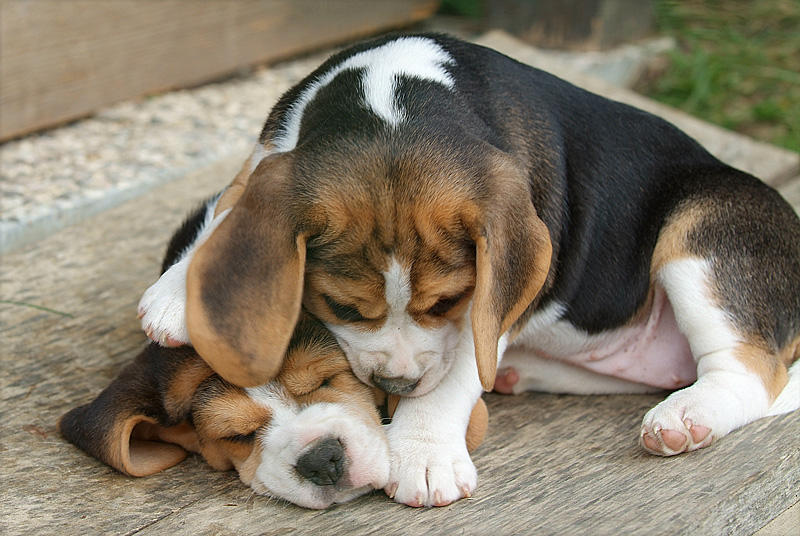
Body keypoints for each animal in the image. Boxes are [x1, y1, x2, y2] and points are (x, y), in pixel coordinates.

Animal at [136, 33, 800, 506]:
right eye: (343, 309)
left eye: (446, 303)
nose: (398, 385)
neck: (396, 96)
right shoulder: (272, 148)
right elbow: (230, 202)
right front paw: (179, 293)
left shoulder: (495, 301)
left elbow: (459, 368)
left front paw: (422, 453)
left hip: (702, 226)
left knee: (749, 376)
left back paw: (687, 417)